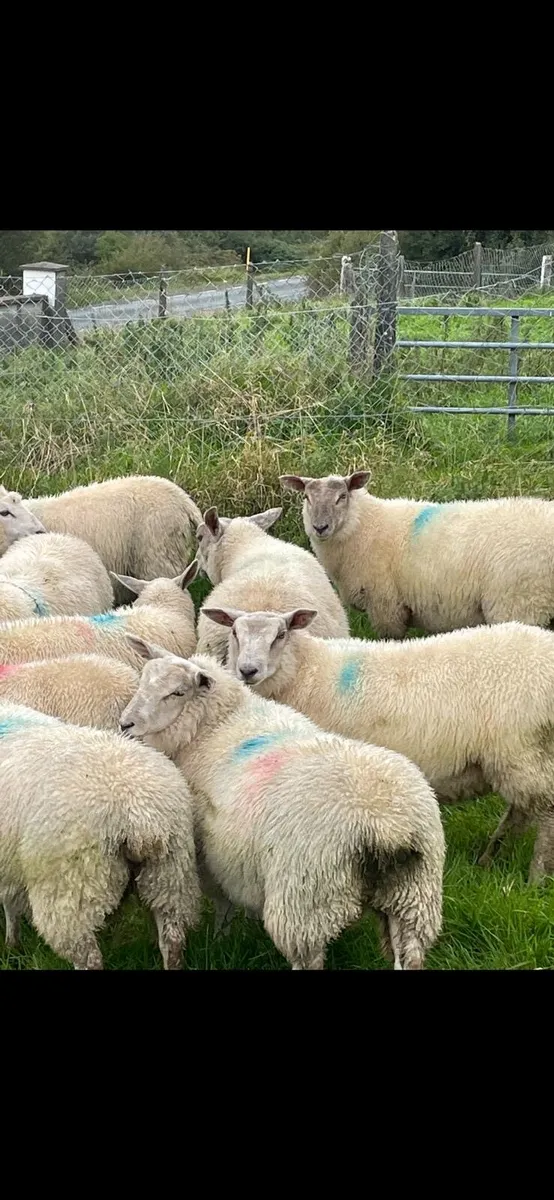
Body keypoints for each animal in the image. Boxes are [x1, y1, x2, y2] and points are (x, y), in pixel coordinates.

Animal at [0, 700, 200, 970]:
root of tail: (139, 813)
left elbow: (9, 904)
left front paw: (11, 944)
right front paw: (13, 944)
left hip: (72, 886)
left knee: (88, 957)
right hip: (171, 872)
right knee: (173, 939)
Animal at [118, 642, 445, 971]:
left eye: (177, 693)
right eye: (143, 681)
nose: (125, 724)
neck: (214, 726)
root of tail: (386, 823)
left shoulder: (212, 857)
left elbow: (224, 905)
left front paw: (219, 940)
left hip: (305, 900)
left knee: (307, 957)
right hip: (413, 895)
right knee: (409, 954)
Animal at [204, 606, 554, 883]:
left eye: (281, 635)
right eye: (234, 632)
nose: (248, 670)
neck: (308, 671)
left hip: (523, 752)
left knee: (545, 813)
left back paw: (534, 877)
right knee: (520, 811)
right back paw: (489, 858)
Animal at [280, 470, 554, 637]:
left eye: (342, 497)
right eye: (306, 497)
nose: (320, 527)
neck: (365, 526)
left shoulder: (386, 606)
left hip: (520, 603)